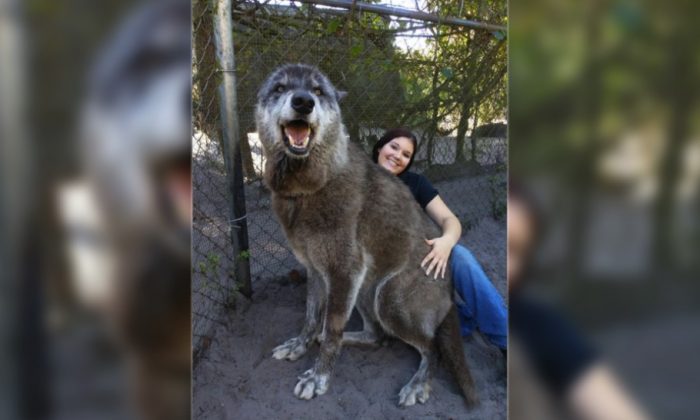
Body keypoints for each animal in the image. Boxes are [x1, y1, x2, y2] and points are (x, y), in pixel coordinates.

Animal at [258, 63, 482, 406]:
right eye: (280, 88)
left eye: (318, 91)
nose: (303, 102)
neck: (309, 187)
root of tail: (449, 291)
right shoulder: (317, 271)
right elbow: (311, 317)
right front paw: (300, 344)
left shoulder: (343, 272)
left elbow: (332, 329)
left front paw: (318, 378)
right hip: (365, 289)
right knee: (378, 337)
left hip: (386, 298)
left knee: (432, 347)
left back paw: (418, 384)